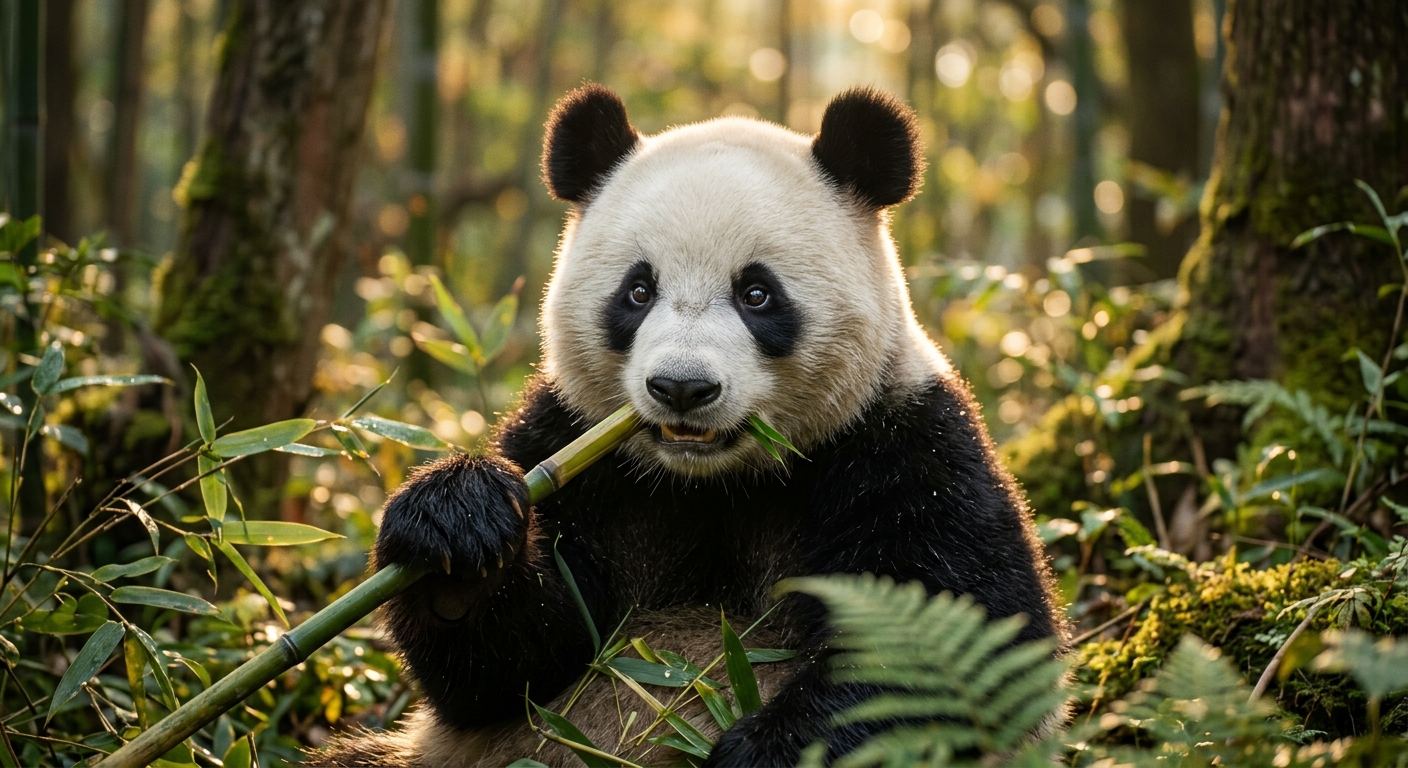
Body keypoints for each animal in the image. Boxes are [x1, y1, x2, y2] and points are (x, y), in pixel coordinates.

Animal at [312, 84, 1063, 767]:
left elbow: (953, 652)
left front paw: (756, 752)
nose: (681, 388)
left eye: (757, 293)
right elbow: (508, 671)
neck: (713, 482)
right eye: (638, 291)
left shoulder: (904, 445)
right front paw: (458, 528)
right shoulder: (572, 447)